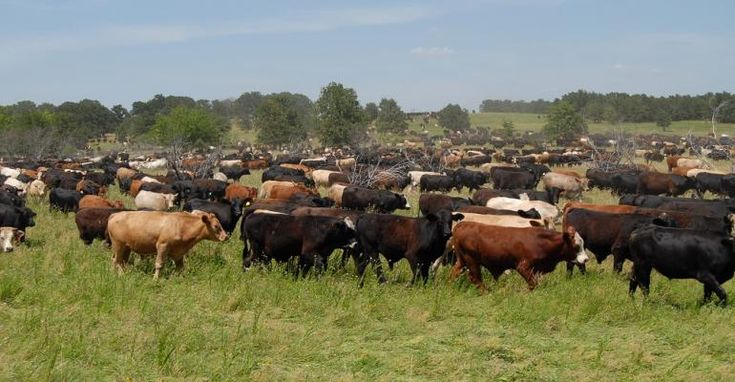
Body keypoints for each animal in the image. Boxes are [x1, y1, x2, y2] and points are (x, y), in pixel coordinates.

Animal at [448, 222, 588, 290]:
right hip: (471, 261)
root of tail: (462, 225)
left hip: (462, 261)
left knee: (454, 273)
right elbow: (533, 284)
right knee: (476, 279)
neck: (540, 241)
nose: (586, 259)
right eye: (576, 246)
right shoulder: (523, 267)